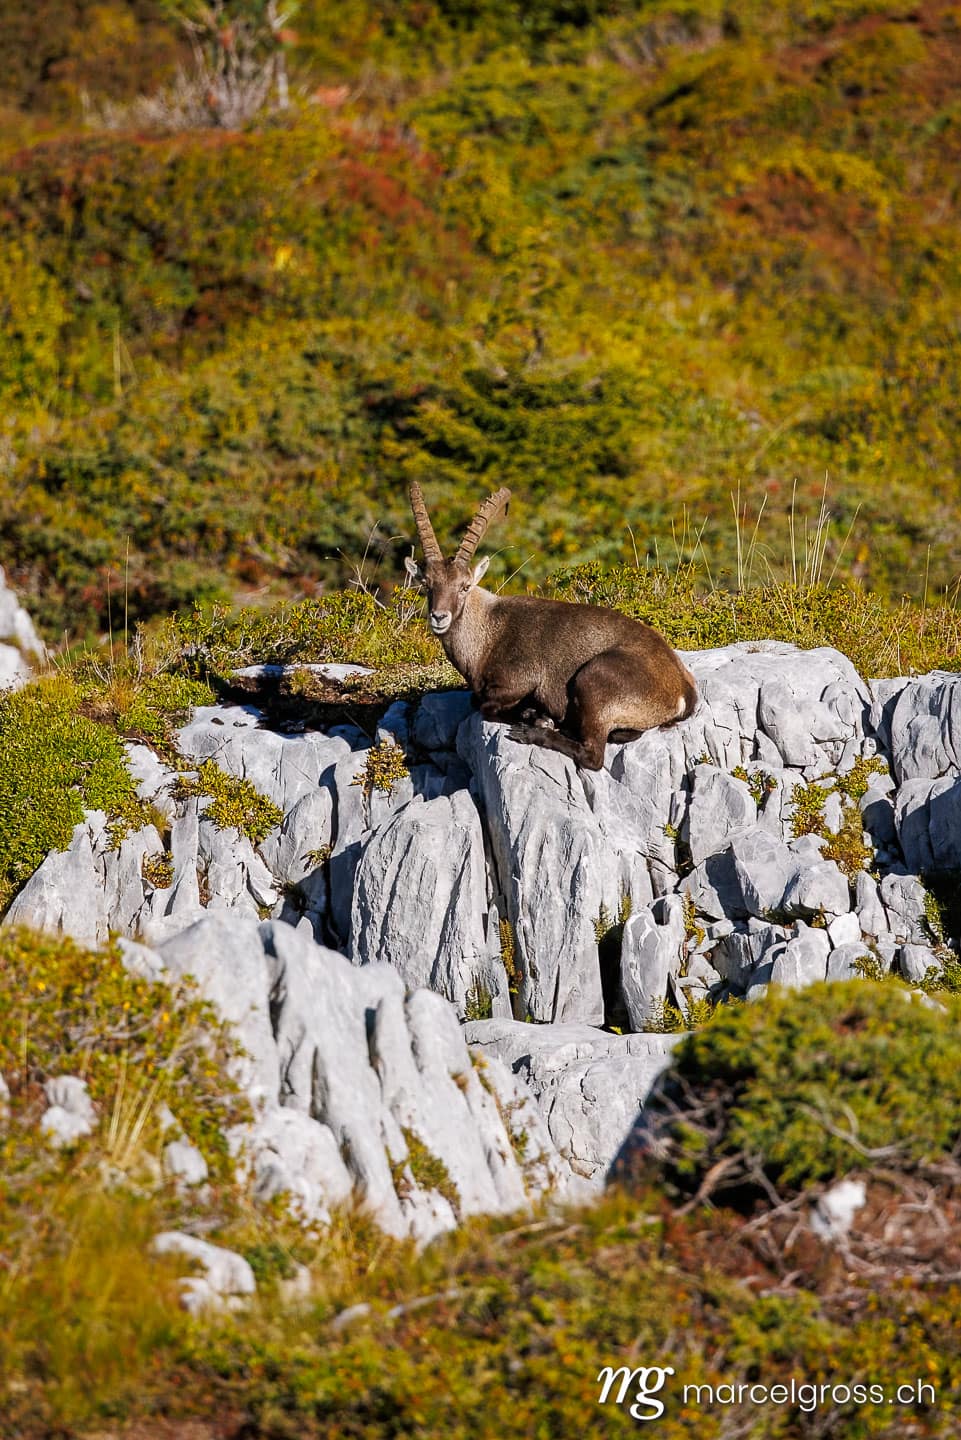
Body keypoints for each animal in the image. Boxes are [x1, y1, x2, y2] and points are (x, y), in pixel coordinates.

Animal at [405, 484, 698, 771]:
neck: (487, 634)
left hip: (593, 679)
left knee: (593, 756)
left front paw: (536, 717)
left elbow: (484, 704)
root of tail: (682, 688)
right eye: (427, 585)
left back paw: (536, 731)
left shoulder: (519, 679)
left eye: (465, 586)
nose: (439, 617)